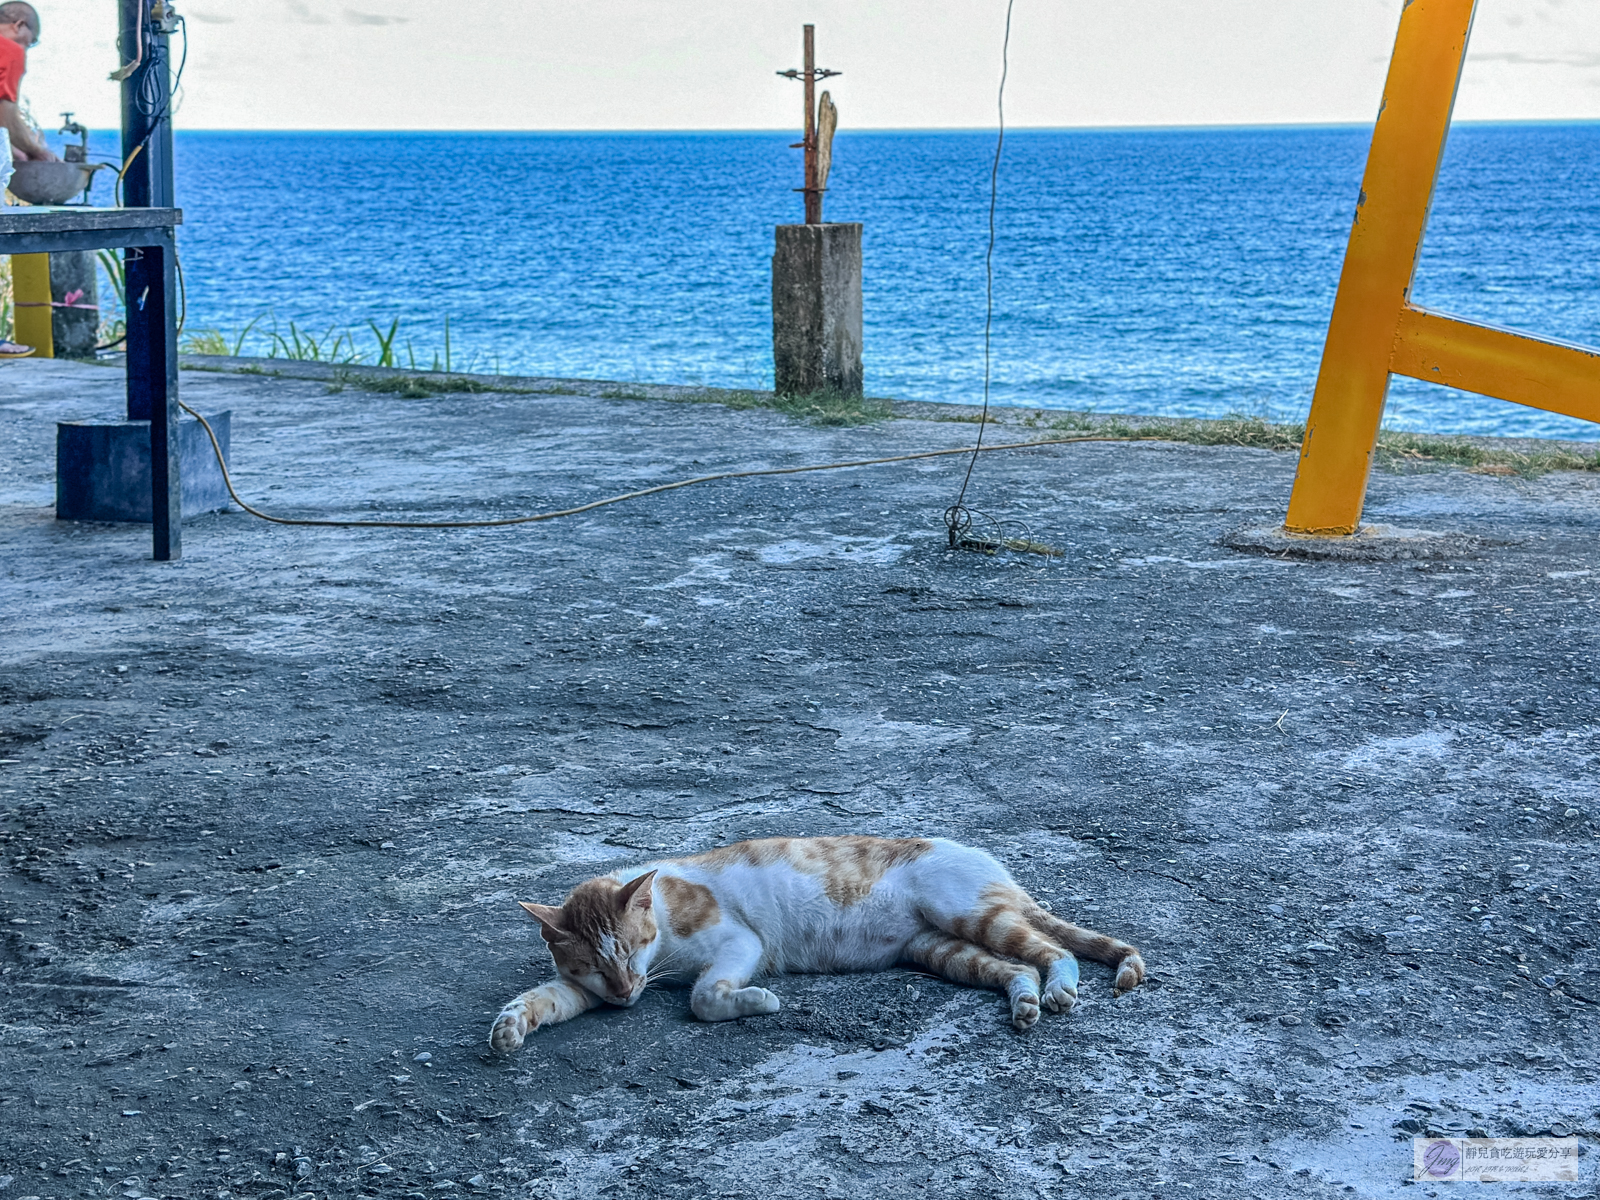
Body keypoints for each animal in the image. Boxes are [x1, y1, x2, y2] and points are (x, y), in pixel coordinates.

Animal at [483, 838, 1139, 1049]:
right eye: (595, 968)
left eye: (628, 951)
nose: (623, 995)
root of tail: (990, 860)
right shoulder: (584, 990)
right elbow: (544, 997)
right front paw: (511, 1026)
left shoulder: (737, 942)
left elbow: (702, 996)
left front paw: (756, 1002)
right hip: (942, 949)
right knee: (1013, 969)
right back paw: (1025, 1003)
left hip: (971, 915)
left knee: (1056, 950)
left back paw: (1059, 990)